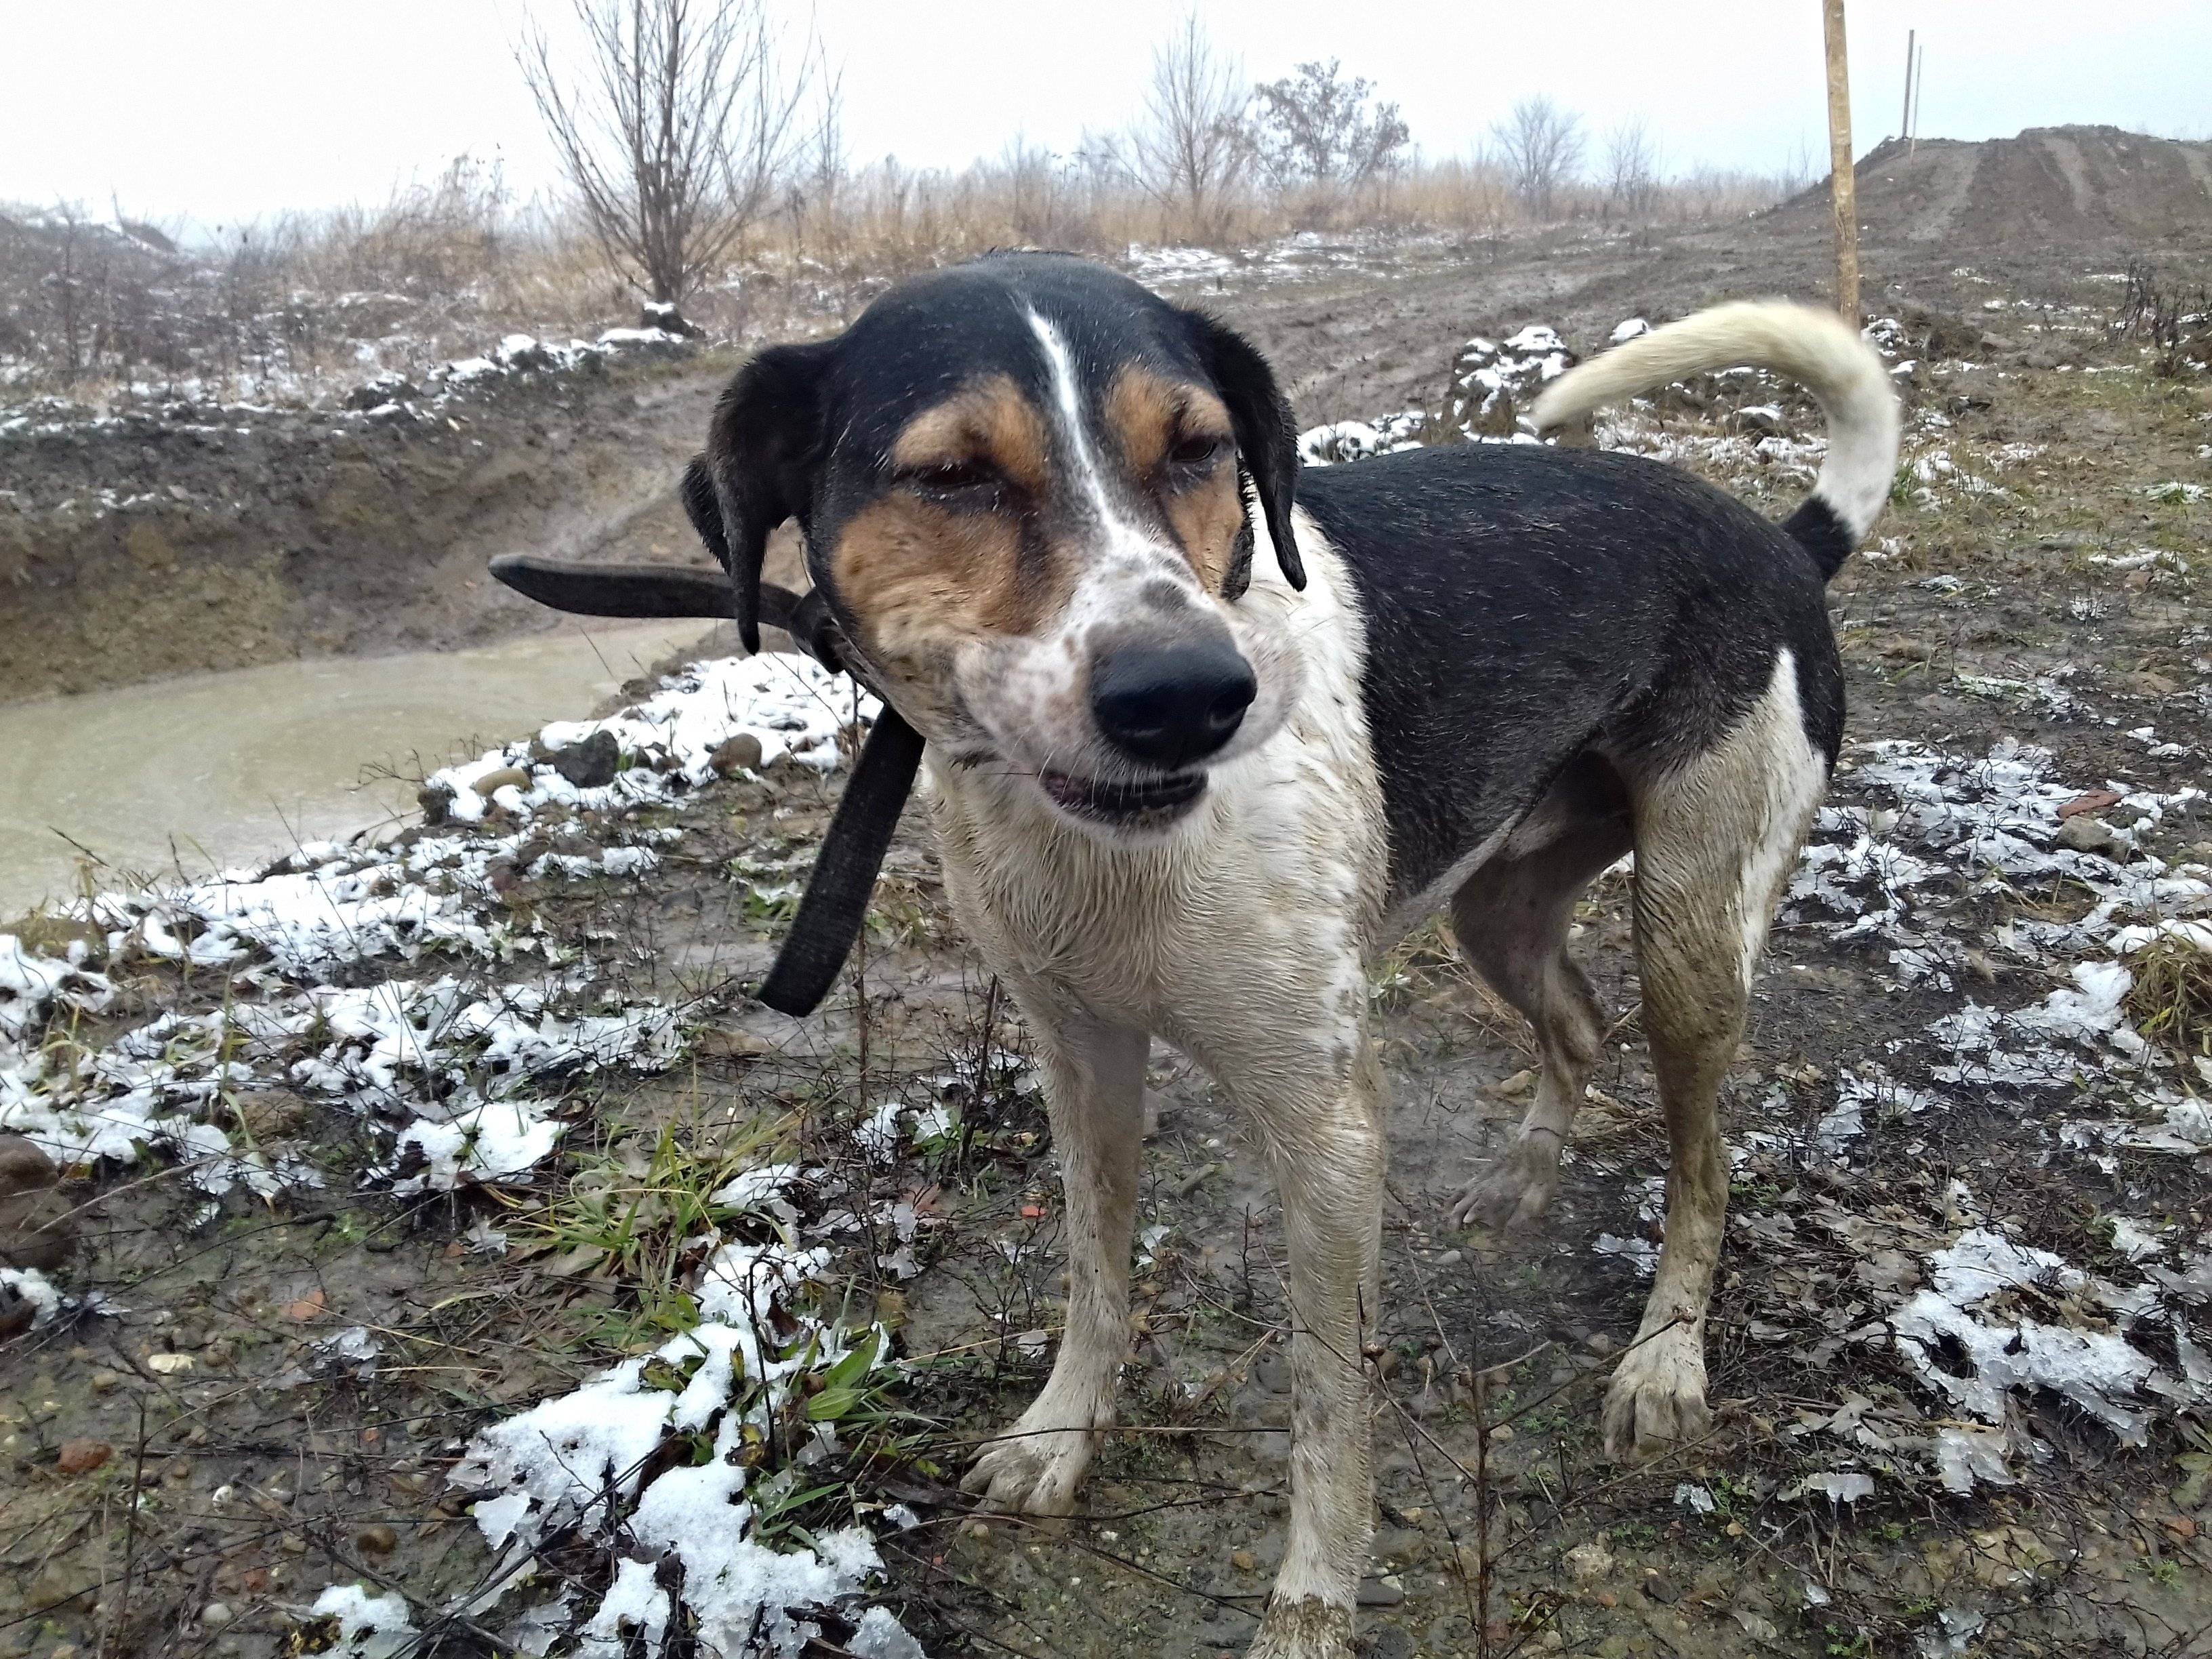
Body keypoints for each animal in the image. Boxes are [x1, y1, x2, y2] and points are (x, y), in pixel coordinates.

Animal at [501, 253, 1898, 1658]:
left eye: (1198, 449)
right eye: (950, 475)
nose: (1189, 697)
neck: (1095, 848)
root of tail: (1782, 538)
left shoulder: (1328, 1130)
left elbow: (1327, 1406)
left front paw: (1308, 1607)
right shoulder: (1077, 1056)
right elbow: (1093, 1273)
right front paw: (1059, 1435)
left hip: (1689, 931)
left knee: (1704, 1157)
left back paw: (1662, 1358)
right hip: (1498, 901)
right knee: (1571, 1019)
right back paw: (1521, 1176)